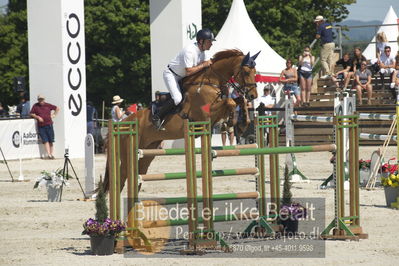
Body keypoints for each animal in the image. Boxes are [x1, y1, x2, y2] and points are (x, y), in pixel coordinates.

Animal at [103, 49, 260, 191]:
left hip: (148, 151)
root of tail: (121, 124)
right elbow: (230, 102)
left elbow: (239, 101)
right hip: (127, 153)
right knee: (122, 177)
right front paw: (230, 122)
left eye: (255, 72)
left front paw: (242, 124)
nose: (253, 95)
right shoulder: (204, 114)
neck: (210, 82)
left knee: (139, 174)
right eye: (246, 72)